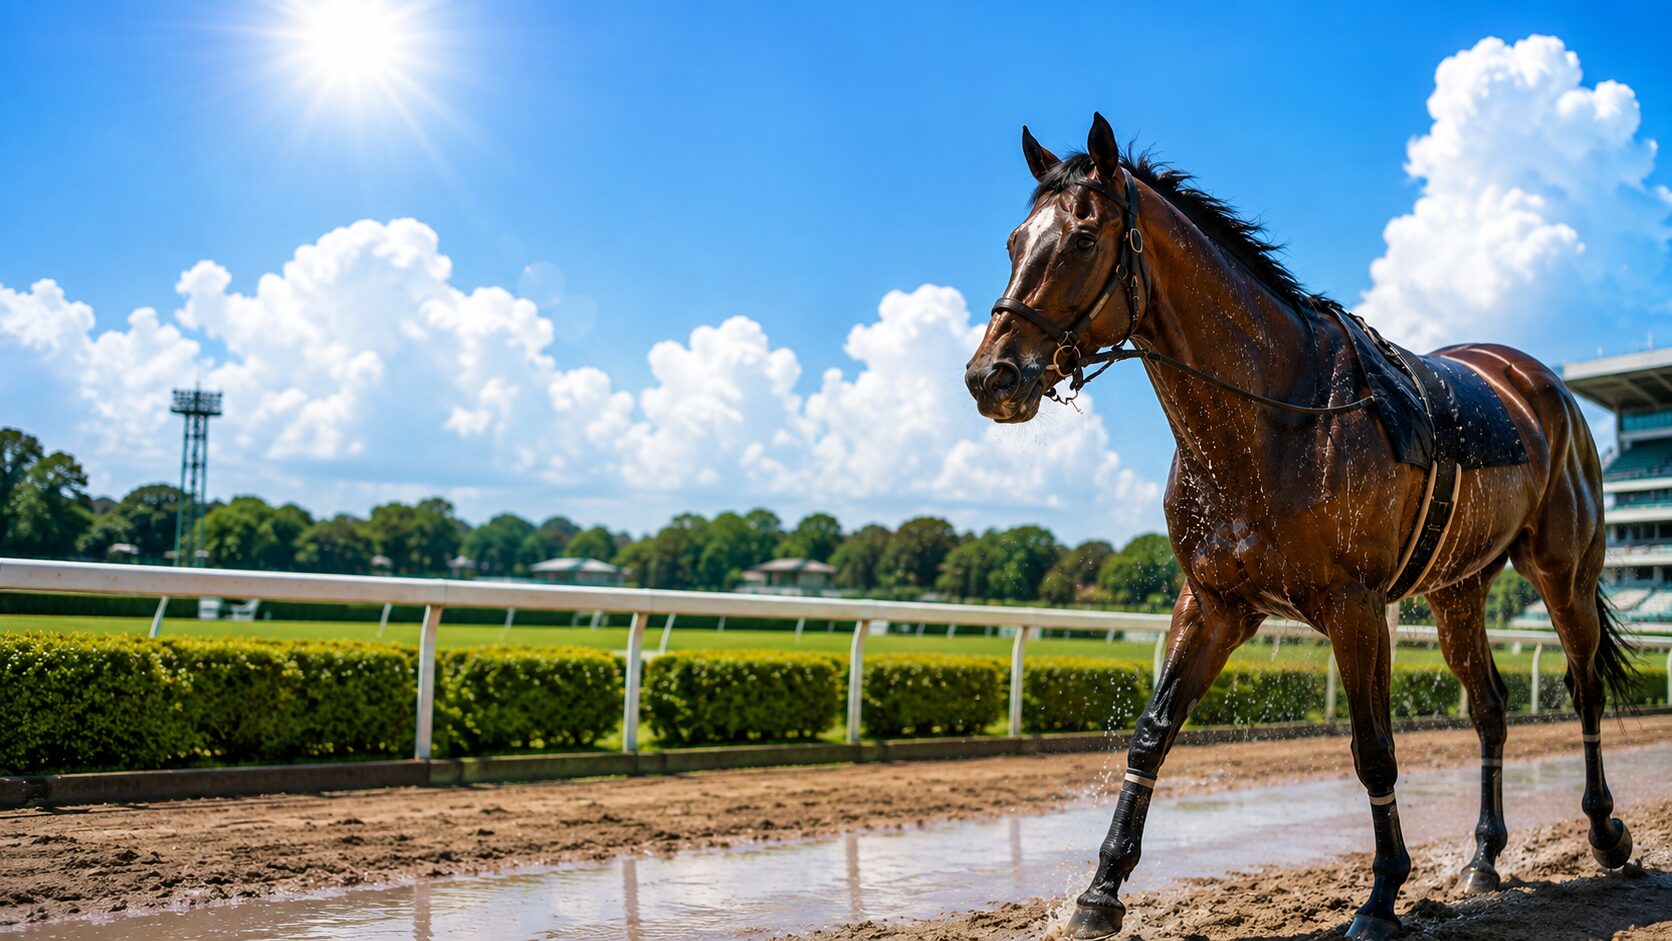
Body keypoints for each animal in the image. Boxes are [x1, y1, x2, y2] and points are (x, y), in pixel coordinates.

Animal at [963, 113, 1638, 941]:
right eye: (1015, 241)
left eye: (1085, 237)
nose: (991, 375)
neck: (1277, 414)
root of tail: (1542, 384)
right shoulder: (1213, 602)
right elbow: (1152, 731)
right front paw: (1100, 890)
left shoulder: (1355, 606)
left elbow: (1374, 748)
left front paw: (1381, 895)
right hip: (1457, 591)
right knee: (1490, 706)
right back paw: (1483, 857)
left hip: (1562, 571)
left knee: (1584, 685)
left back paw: (1605, 832)